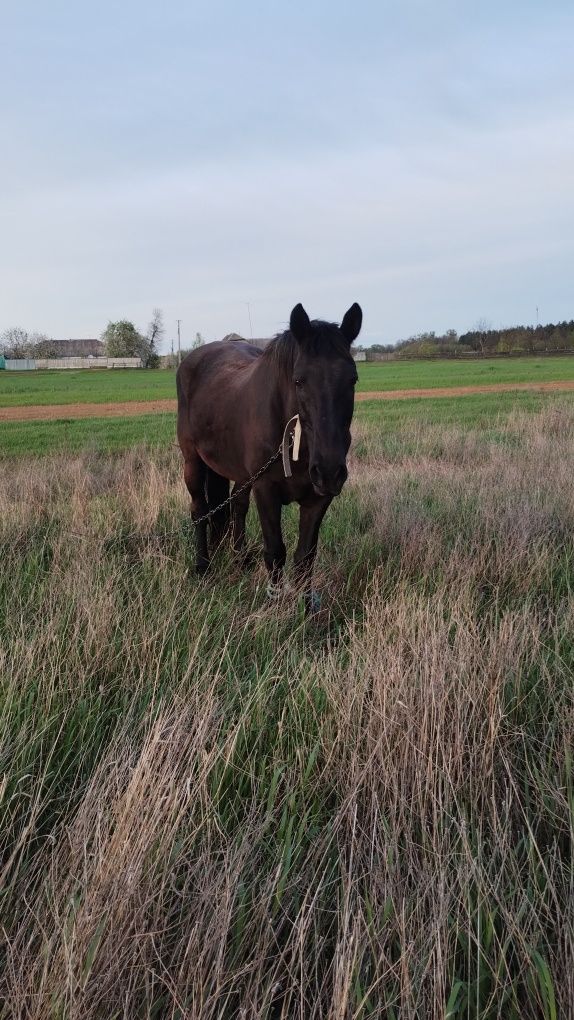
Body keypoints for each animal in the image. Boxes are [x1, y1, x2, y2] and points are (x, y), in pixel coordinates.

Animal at [176, 297, 362, 607]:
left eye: (353, 380)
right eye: (299, 380)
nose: (328, 470)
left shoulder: (318, 498)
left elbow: (305, 556)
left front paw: (307, 609)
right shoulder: (266, 489)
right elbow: (275, 551)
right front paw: (274, 607)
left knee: (236, 507)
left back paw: (239, 559)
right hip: (193, 461)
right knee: (199, 508)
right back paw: (203, 566)